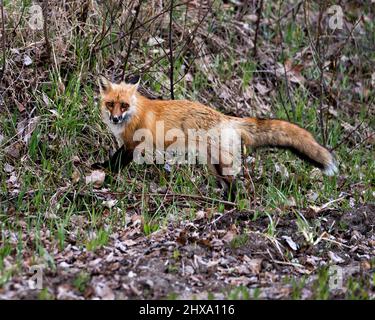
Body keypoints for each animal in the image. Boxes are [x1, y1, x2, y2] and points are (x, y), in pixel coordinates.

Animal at [93, 76, 338, 196]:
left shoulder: (133, 145)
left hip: (220, 163)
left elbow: (115, 163)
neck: (134, 113)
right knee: (228, 184)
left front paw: (105, 172)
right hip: (213, 164)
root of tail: (226, 117)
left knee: (235, 186)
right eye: (110, 104)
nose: (115, 118)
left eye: (124, 105)